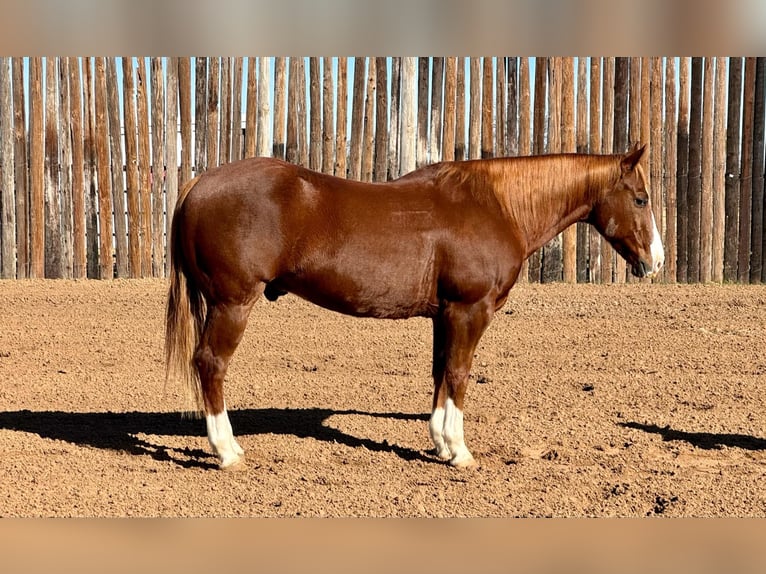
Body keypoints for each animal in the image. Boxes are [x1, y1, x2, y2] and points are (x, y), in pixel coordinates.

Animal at [166, 145, 664, 472]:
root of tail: (198, 182)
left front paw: (440, 443)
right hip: (233, 303)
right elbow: (459, 374)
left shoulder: (445, 314)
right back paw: (227, 452)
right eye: (640, 198)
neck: (497, 206)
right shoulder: (470, 310)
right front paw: (459, 452)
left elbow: (441, 372)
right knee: (211, 364)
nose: (656, 261)